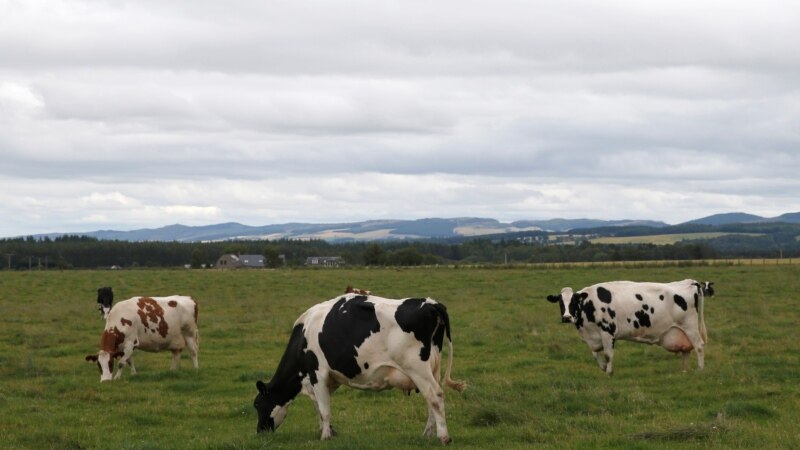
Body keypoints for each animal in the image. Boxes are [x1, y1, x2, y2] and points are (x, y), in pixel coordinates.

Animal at [253, 292, 466, 442]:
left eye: (257, 404)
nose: (259, 432)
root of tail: (430, 303)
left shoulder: (317, 373)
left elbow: (324, 409)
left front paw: (325, 437)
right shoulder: (328, 379)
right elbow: (320, 407)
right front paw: (329, 431)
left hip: (417, 367)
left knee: (435, 395)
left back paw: (443, 437)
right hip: (433, 367)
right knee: (431, 399)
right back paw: (428, 434)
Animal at [544, 280, 712, 374]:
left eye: (573, 301)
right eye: (560, 302)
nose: (567, 317)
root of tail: (689, 283)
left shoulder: (608, 332)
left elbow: (608, 354)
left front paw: (609, 372)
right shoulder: (593, 338)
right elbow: (595, 354)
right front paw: (604, 368)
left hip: (689, 326)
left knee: (698, 346)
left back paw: (700, 369)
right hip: (681, 330)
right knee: (687, 349)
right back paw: (684, 370)